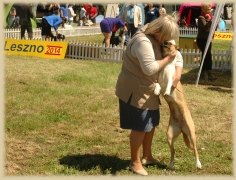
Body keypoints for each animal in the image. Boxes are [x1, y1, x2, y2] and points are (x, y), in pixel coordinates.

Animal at [154, 39, 202, 170]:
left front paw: (166, 91)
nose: (164, 42)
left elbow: (168, 84)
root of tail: (181, 127)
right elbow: (158, 84)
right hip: (169, 136)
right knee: (173, 151)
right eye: (166, 41)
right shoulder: (158, 79)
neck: (166, 64)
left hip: (191, 133)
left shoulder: (171, 79)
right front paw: (156, 90)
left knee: (195, 150)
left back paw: (198, 164)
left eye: (170, 43)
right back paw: (171, 165)